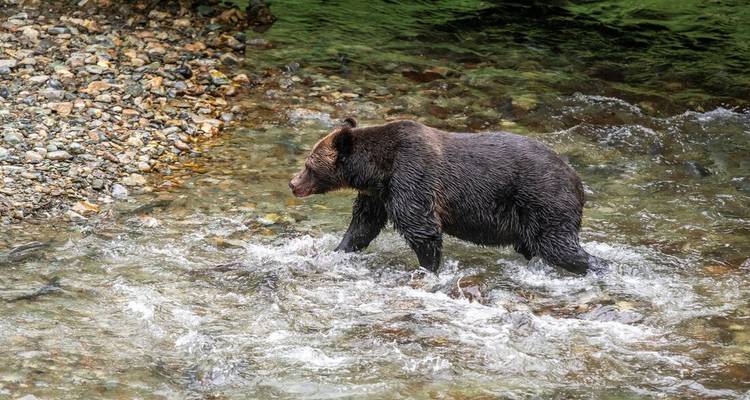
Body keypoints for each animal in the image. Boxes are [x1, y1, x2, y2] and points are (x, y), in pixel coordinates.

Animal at [289, 118, 607, 275]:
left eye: (308, 165)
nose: (292, 183)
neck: (378, 170)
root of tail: (577, 180)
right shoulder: (378, 195)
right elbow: (362, 225)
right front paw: (338, 250)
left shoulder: (411, 177)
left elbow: (422, 228)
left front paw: (428, 269)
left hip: (543, 200)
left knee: (559, 246)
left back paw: (595, 267)